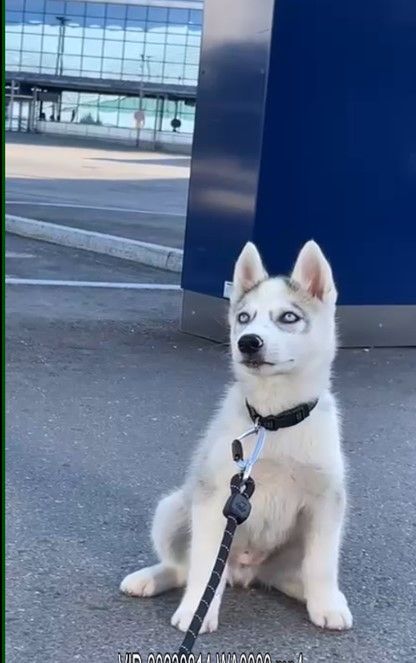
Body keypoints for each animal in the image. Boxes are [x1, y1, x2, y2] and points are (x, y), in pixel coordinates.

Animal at [120, 243, 352, 632]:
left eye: (288, 317)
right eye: (244, 317)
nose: (248, 342)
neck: (272, 422)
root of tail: (243, 572)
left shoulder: (325, 499)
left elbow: (321, 563)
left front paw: (327, 603)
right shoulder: (214, 499)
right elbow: (202, 568)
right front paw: (196, 610)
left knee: (292, 573)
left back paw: (307, 592)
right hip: (174, 507)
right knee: (183, 567)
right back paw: (151, 578)